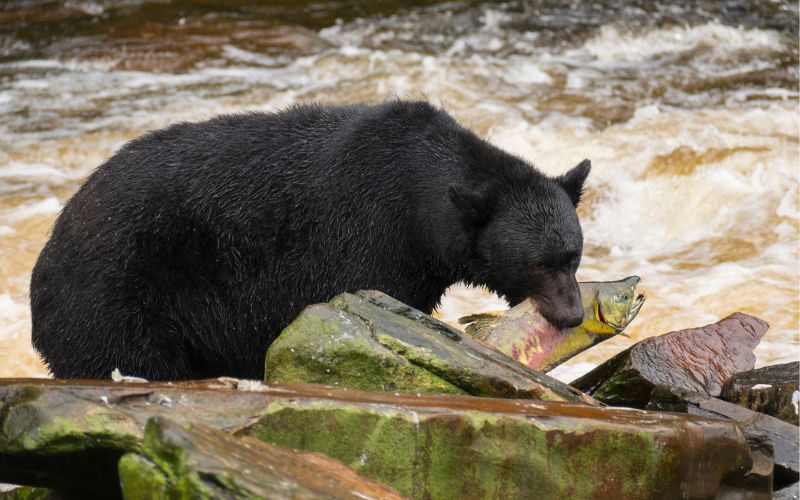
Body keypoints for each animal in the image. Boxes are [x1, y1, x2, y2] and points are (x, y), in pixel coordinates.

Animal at [30, 100, 590, 381]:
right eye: (538, 264)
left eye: (573, 256)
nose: (573, 315)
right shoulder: (367, 236)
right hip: (118, 295)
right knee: (131, 358)